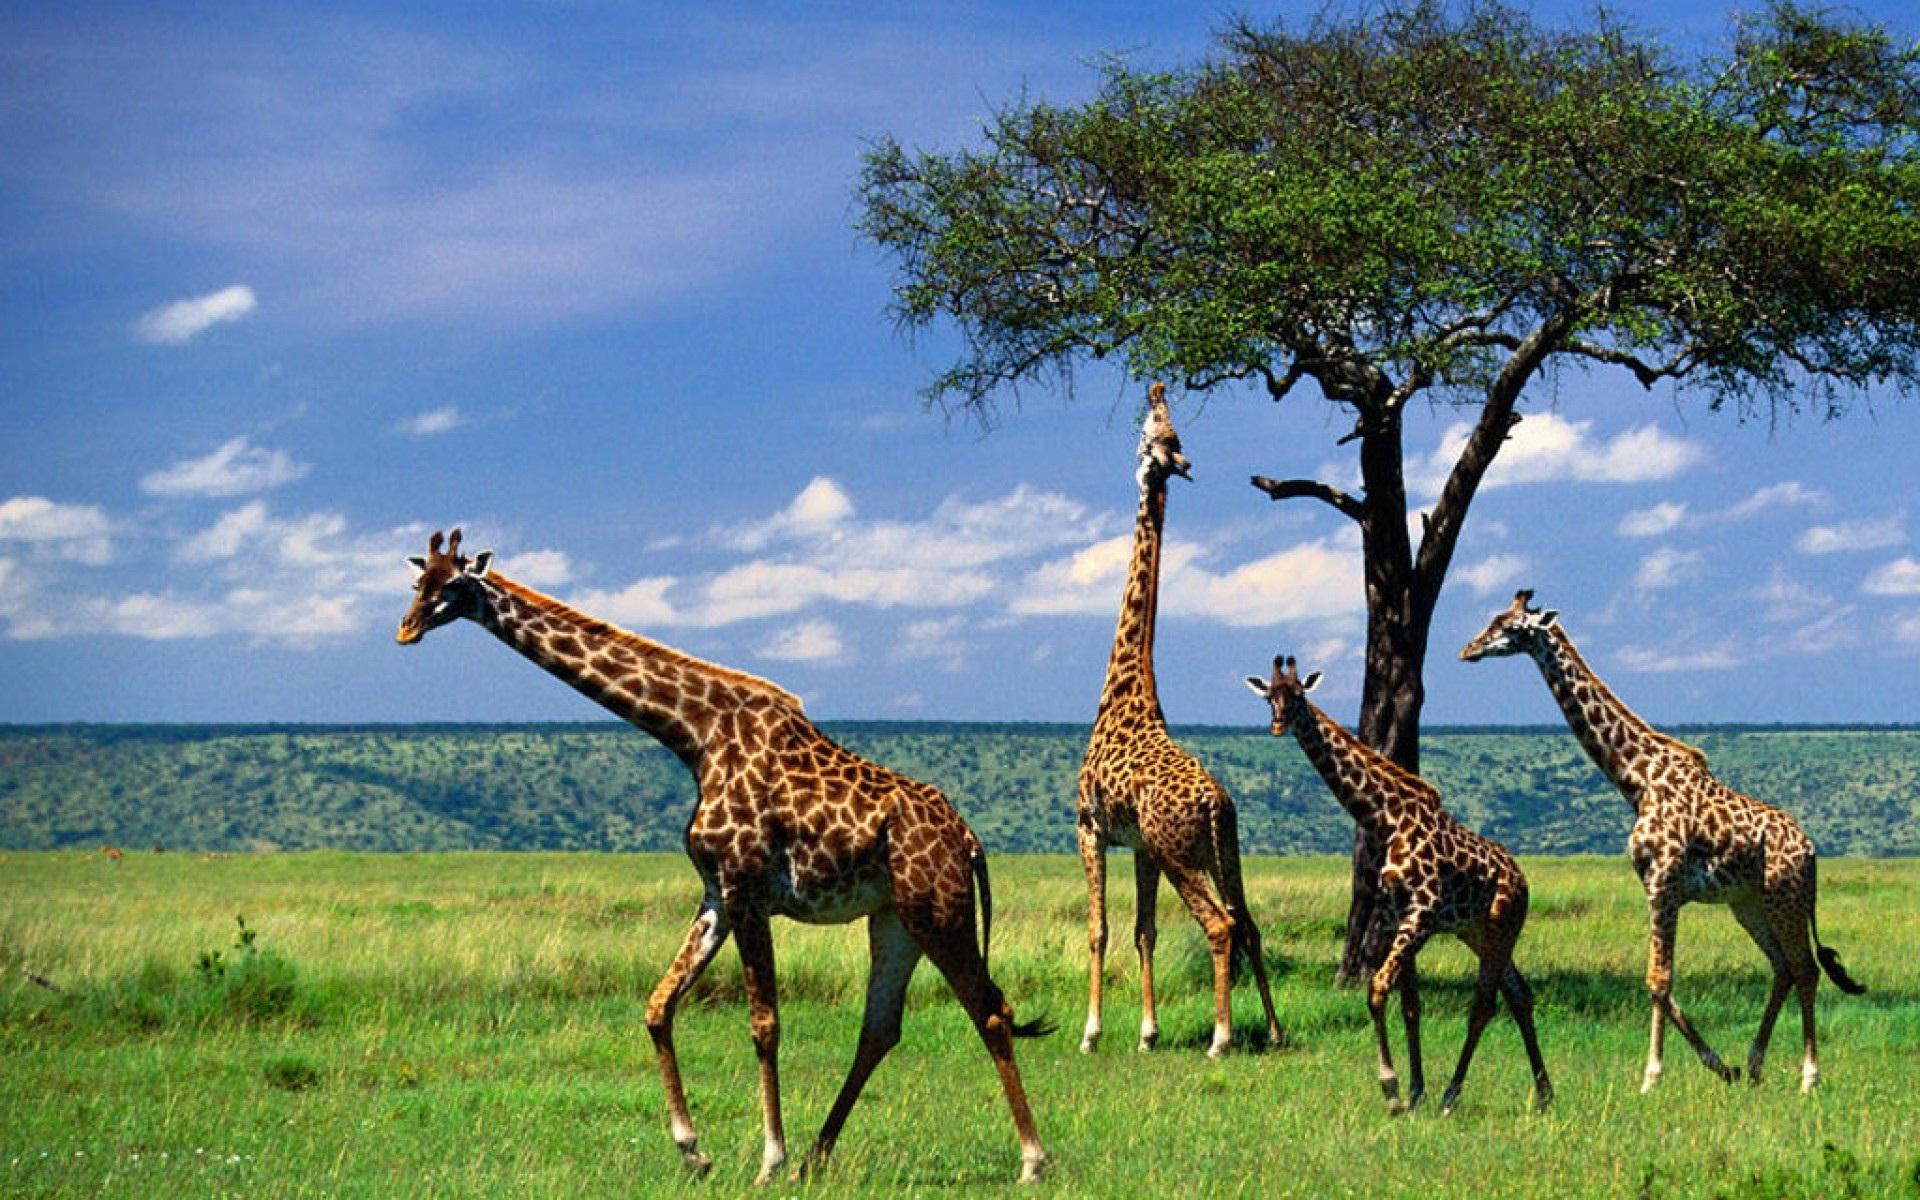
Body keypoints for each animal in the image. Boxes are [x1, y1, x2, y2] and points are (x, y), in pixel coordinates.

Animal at [397, 530, 1051, 1183]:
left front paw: (767, 1159)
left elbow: (764, 1024)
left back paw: (1031, 1160)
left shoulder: (746, 887)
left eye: (452, 584)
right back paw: (816, 1157)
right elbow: (659, 1006)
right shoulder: (716, 893)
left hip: (937, 908)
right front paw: (694, 1149)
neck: (696, 735)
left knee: (990, 1009)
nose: (405, 630)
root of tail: (969, 840)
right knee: (880, 1028)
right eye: (416, 582)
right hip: (894, 917)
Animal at [1077, 382, 1284, 1058]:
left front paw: (1092, 1033)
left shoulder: (1089, 826)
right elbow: (1145, 930)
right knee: (1248, 921)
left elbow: (1100, 928)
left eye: (1153, 435)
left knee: (1220, 924)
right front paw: (1147, 1033)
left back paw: (1221, 1036)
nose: (1156, 388)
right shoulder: (1139, 844)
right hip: (1223, 846)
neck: (1125, 688)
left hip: (1181, 853)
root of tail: (1215, 799)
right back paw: (1274, 1031)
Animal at [1246, 656, 1552, 1114]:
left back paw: (1452, 1095)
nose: (1279, 724)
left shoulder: (1420, 913)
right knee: (1520, 995)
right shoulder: (1393, 915)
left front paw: (1391, 1090)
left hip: (1503, 926)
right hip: (1478, 932)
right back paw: (1545, 1094)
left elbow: (1377, 989)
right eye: (1270, 697)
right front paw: (1414, 1090)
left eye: (1298, 695)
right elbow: (1409, 1004)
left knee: (1484, 1003)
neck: (1385, 819)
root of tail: (1522, 878)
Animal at [1461, 590, 1865, 1093]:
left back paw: (1809, 1076)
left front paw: (1651, 1077)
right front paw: (1720, 1065)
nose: (1468, 650)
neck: (1637, 780)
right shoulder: (1654, 885)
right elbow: (1659, 981)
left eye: (1510, 626)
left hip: (1784, 896)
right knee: (1784, 968)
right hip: (1749, 903)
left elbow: (1658, 979)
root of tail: (1811, 851)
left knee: (1806, 969)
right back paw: (1754, 1065)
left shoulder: (1664, 882)